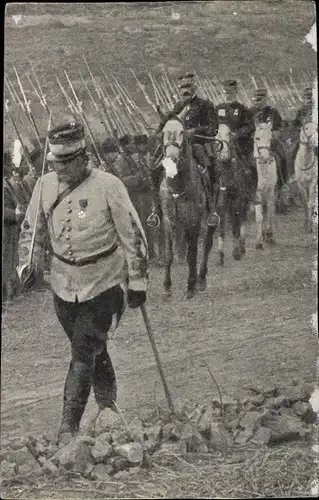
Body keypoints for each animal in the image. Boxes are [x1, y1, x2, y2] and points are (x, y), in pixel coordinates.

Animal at [159, 117, 215, 298]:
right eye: (163, 132)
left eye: (182, 132)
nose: (171, 157)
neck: (178, 186)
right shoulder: (169, 221)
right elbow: (169, 254)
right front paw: (167, 287)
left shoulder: (194, 221)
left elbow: (192, 254)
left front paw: (190, 286)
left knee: (206, 244)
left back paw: (201, 279)